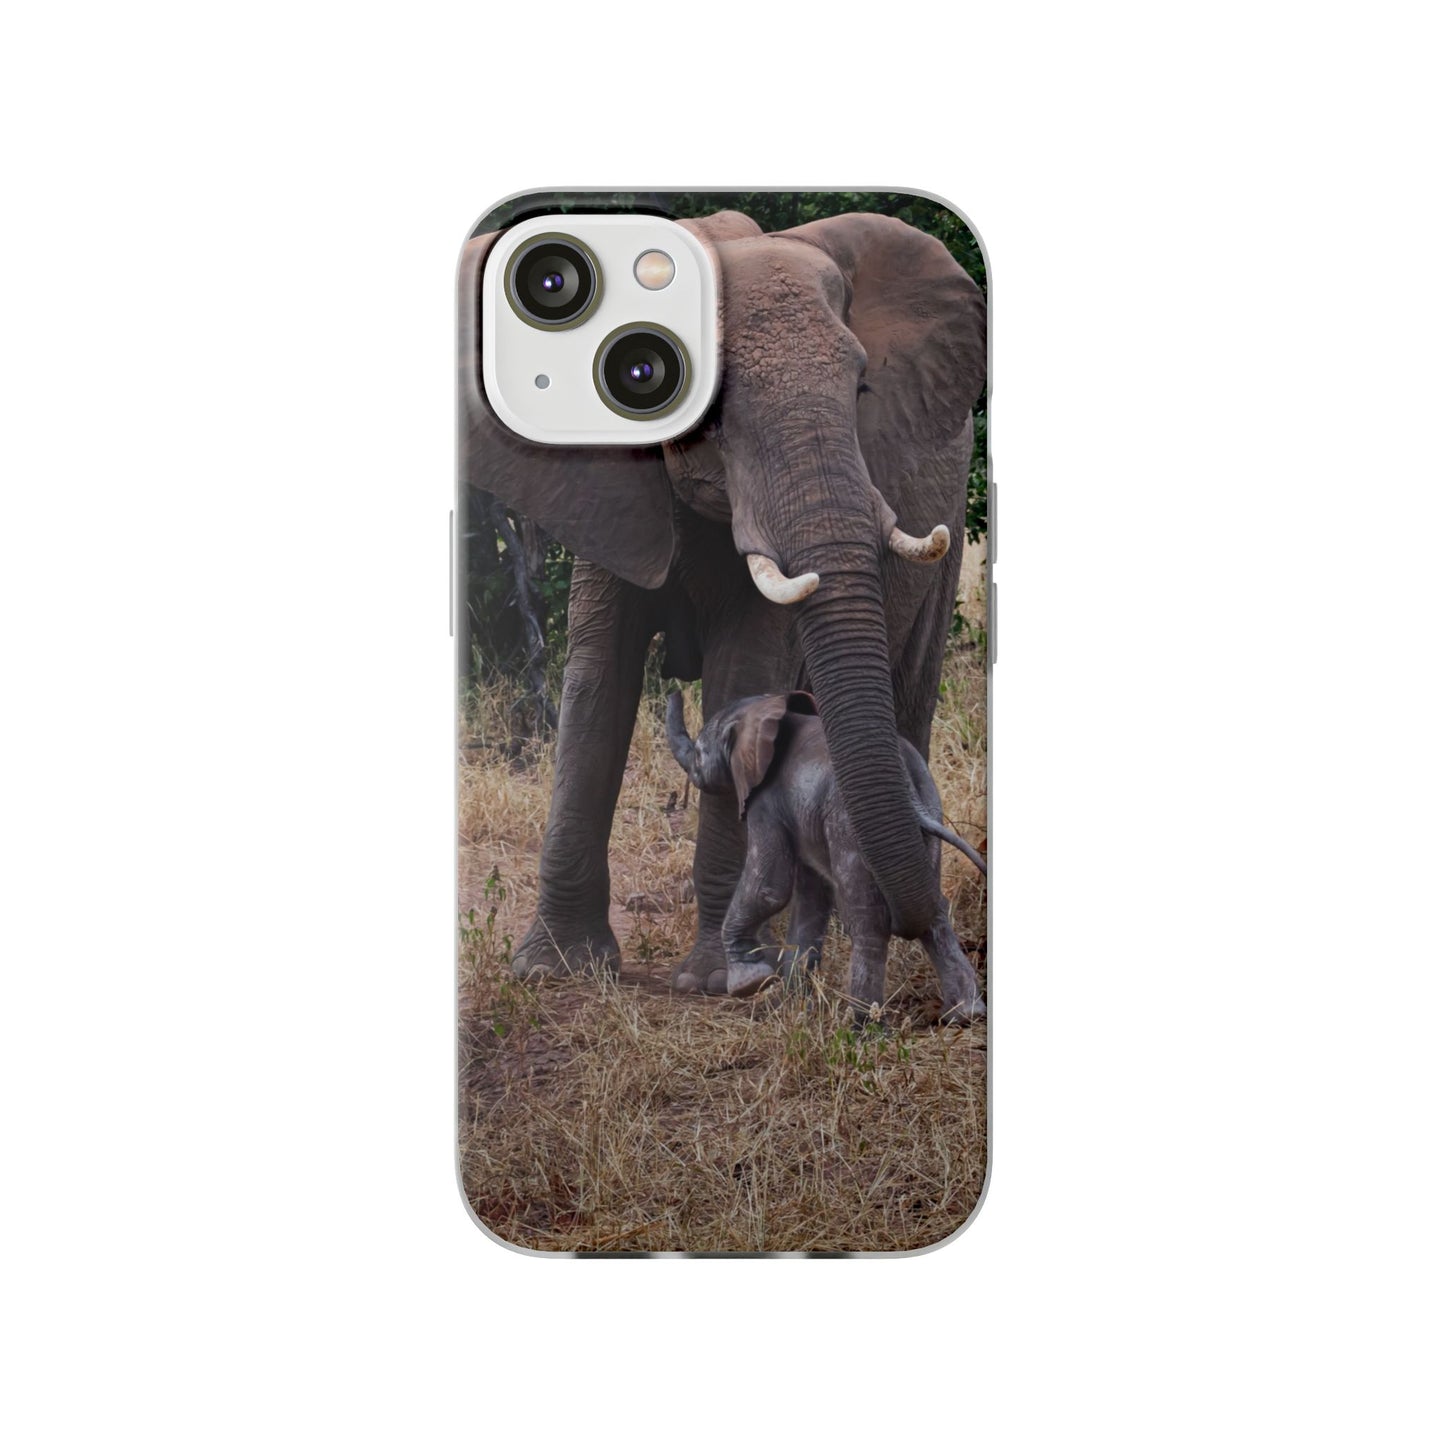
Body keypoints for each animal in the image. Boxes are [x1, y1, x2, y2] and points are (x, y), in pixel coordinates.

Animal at [664, 690, 987, 1022]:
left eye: (699, 753)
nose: (674, 692)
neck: (767, 710)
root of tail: (908, 787)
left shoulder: (766, 802)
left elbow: (769, 888)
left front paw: (749, 982)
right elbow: (811, 898)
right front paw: (790, 1005)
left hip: (848, 825)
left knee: (867, 917)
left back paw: (862, 1022)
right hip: (930, 807)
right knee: (934, 910)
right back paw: (965, 1014)